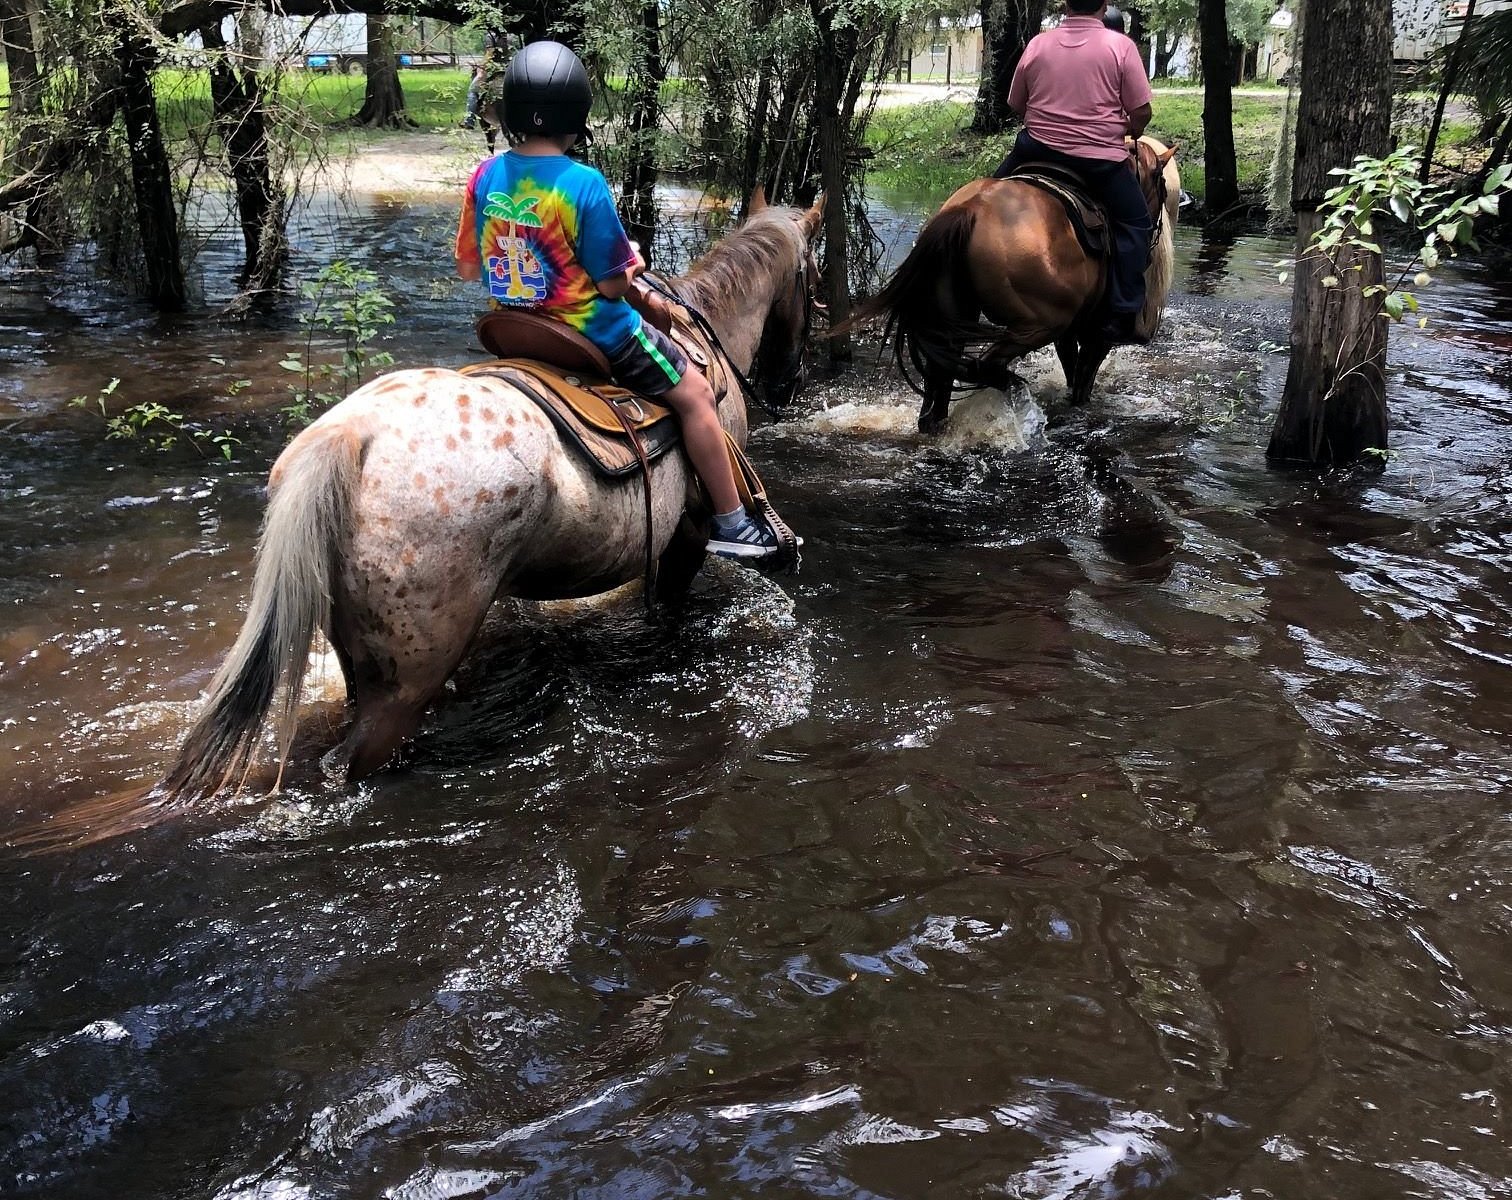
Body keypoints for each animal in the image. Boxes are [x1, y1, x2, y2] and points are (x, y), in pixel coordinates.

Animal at [158, 197, 822, 804]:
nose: (789, 378)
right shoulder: (688, 534)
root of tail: (349, 436)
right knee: (357, 761)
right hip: (410, 674)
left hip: (359, 654)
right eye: (811, 277)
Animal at [840, 138, 1179, 432]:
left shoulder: (1069, 333)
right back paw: (1016, 387)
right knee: (981, 366)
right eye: (1161, 186)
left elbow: (1071, 369)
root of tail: (970, 210)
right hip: (1040, 323)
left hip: (955, 315)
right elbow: (1083, 379)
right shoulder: (1096, 334)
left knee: (942, 379)